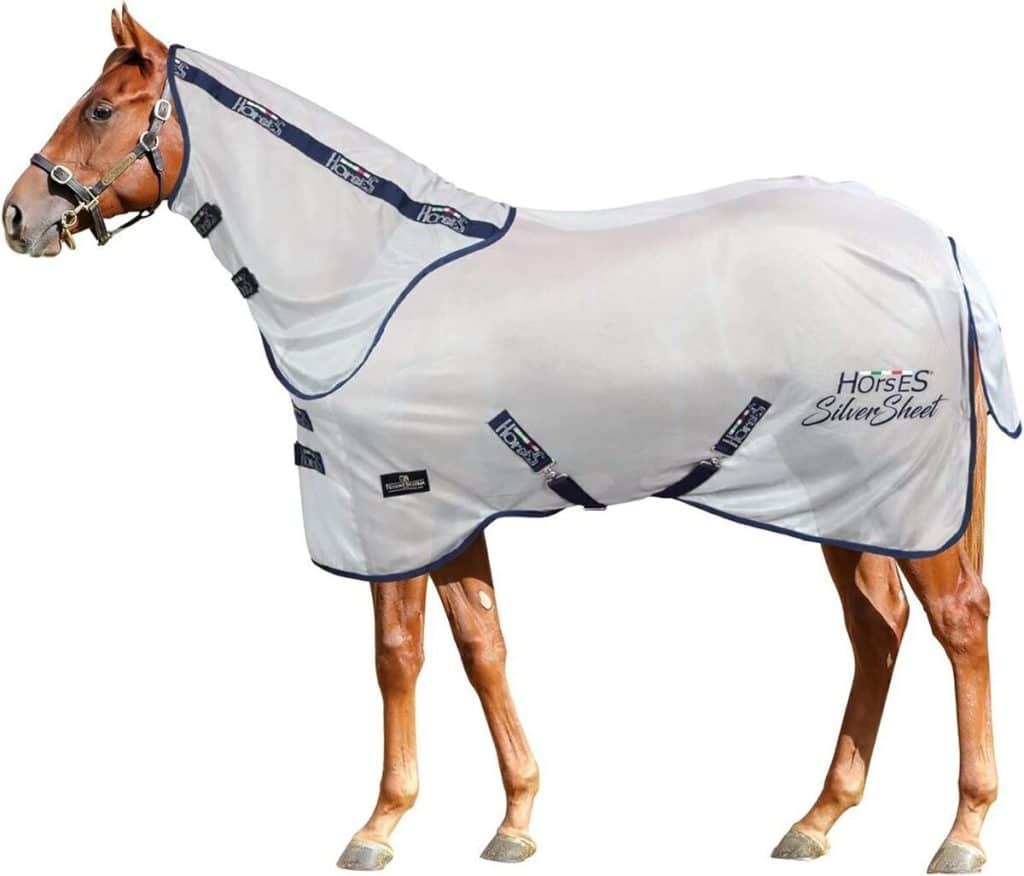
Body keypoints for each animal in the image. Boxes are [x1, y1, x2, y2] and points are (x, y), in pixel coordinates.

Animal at [3, 7, 1017, 873]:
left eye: (100, 108)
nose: (19, 215)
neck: (366, 281)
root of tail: (940, 249)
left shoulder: (389, 506)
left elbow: (396, 657)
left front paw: (378, 827)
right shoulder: (447, 511)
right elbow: (481, 647)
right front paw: (516, 820)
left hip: (901, 498)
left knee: (959, 621)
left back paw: (962, 833)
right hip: (849, 501)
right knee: (878, 628)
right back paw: (817, 821)